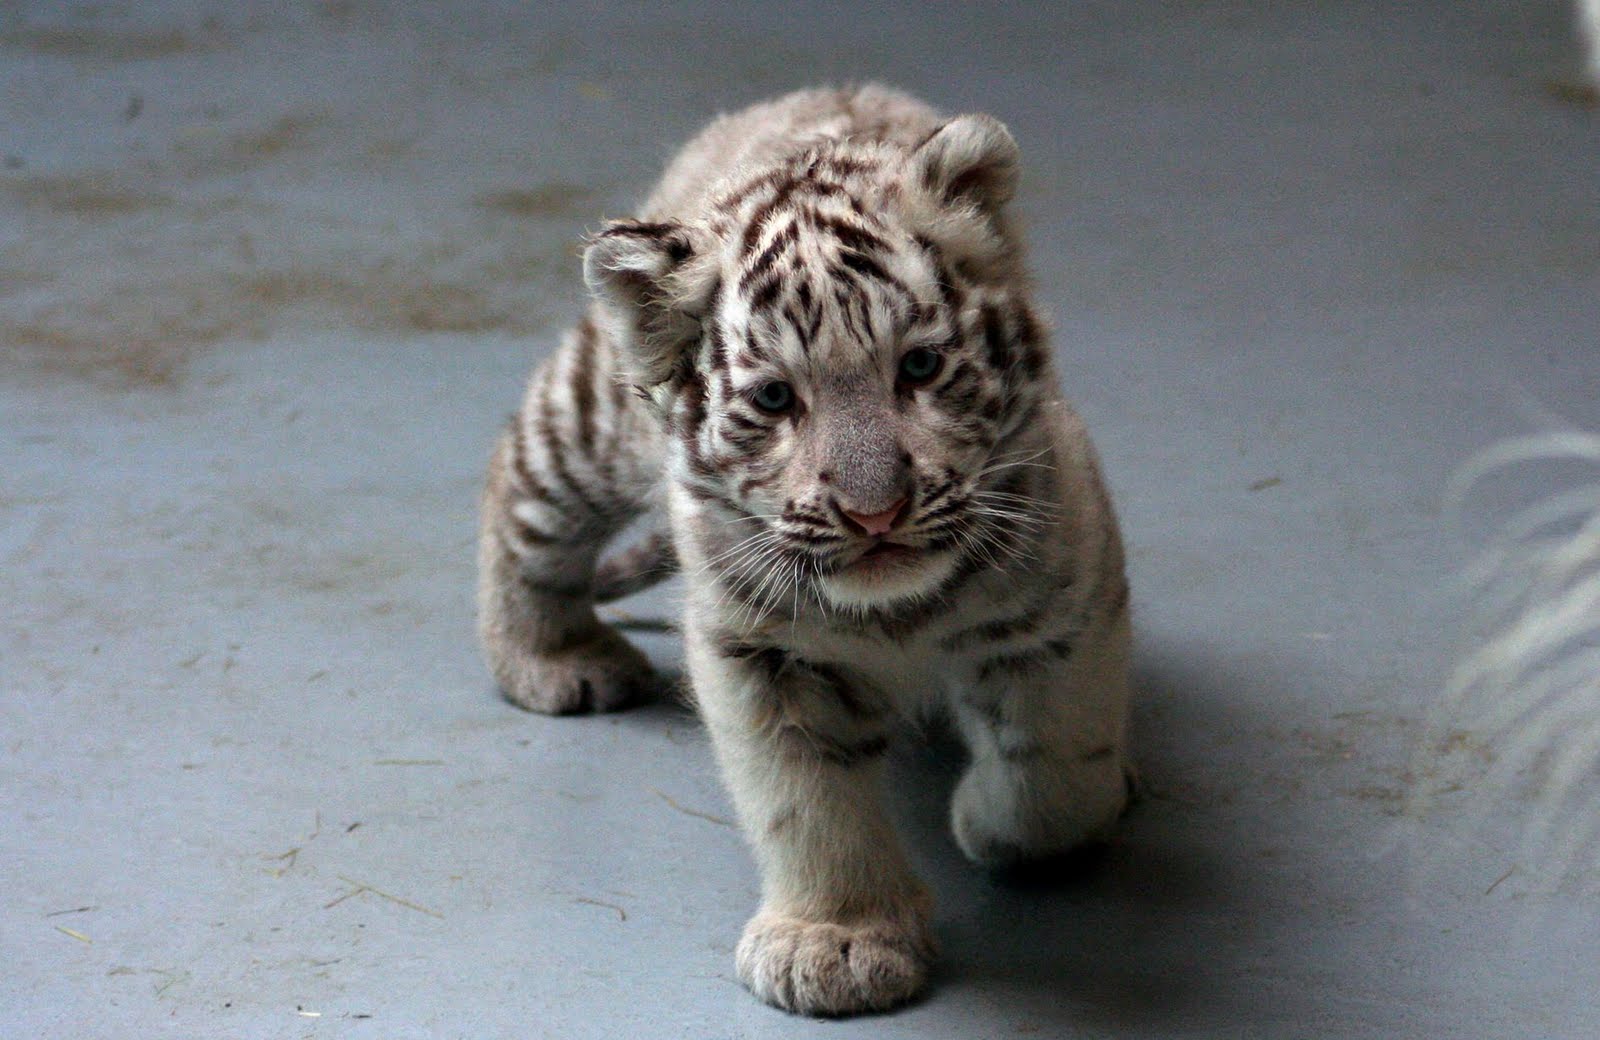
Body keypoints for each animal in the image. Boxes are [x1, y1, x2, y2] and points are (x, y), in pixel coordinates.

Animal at [476, 84, 1134, 1016]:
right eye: (776, 399)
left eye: (920, 368)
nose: (876, 513)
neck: (896, 612)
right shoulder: (758, 650)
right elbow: (807, 800)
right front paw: (838, 942)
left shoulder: (1067, 597)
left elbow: (1056, 773)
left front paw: (990, 822)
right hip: (593, 417)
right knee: (524, 482)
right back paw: (552, 657)